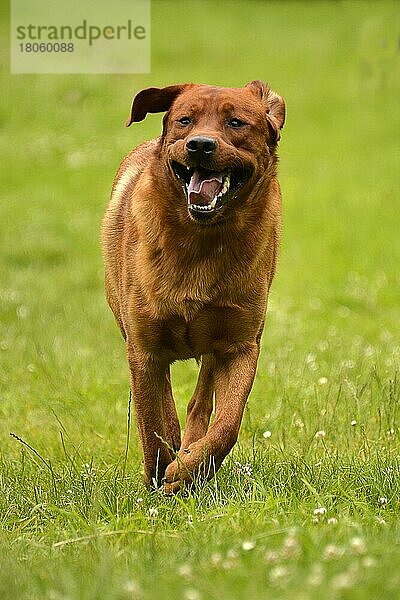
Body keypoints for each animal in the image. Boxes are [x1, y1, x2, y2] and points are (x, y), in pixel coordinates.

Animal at [102, 81, 284, 492]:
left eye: (236, 122)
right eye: (185, 120)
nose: (200, 145)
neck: (202, 240)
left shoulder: (240, 346)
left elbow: (226, 427)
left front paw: (187, 472)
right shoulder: (144, 349)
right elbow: (154, 425)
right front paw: (160, 479)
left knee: (199, 403)